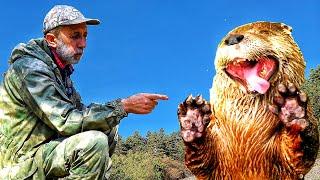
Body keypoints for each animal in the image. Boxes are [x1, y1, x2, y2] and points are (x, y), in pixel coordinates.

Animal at [178, 21, 320, 179]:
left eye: (264, 32)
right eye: (224, 39)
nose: (232, 39)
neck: (245, 128)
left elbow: (299, 157)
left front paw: (292, 108)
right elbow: (201, 164)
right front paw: (193, 117)